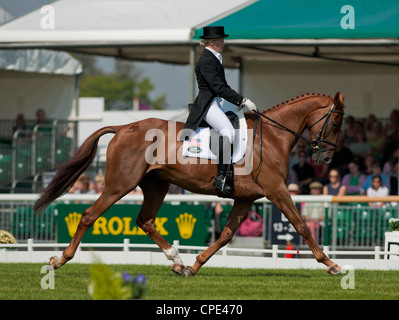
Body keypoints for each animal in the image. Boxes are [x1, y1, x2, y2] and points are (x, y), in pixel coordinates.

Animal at [34, 92, 346, 276]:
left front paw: (194, 266)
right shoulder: (276, 190)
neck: (271, 137)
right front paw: (331, 264)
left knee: (145, 220)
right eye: (336, 122)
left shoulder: (246, 198)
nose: (325, 157)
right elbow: (301, 225)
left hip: (156, 185)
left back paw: (176, 260)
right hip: (119, 185)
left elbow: (226, 235)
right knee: (89, 215)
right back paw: (59, 260)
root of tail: (122, 128)